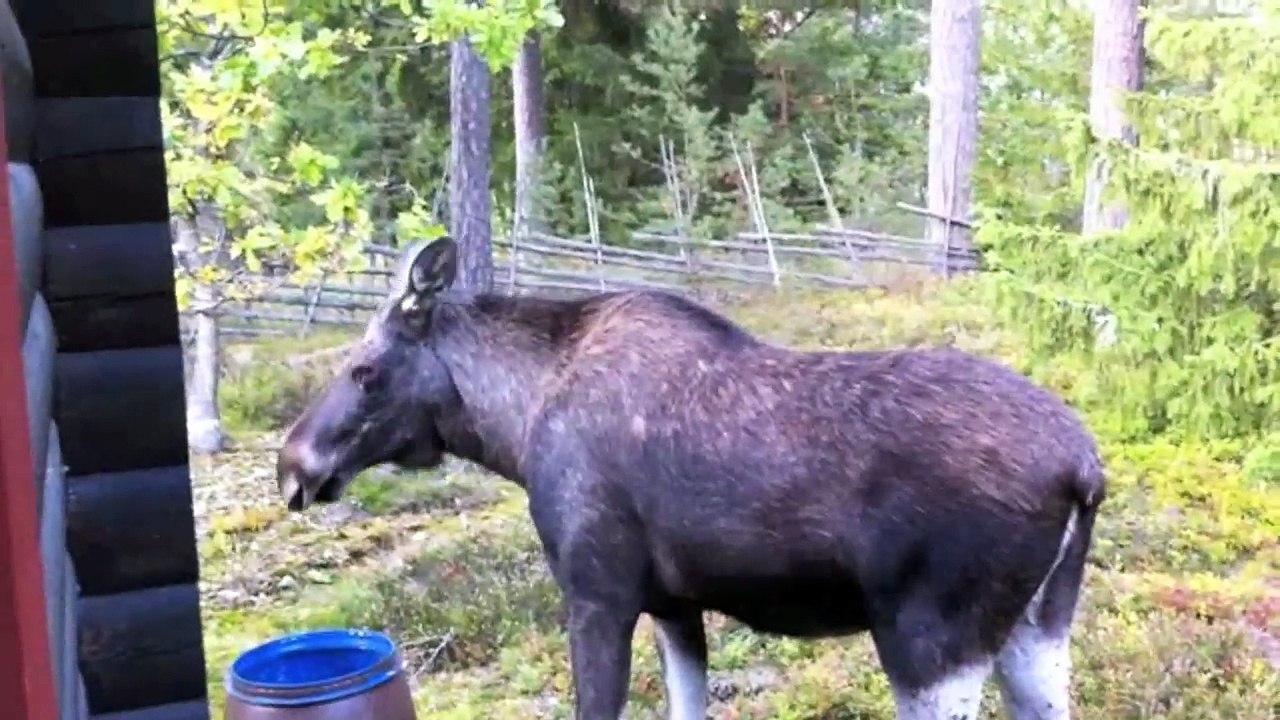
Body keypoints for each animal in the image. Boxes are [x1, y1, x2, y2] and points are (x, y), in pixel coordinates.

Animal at [276, 236, 1106, 720]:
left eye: (364, 369)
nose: (294, 465)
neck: (514, 427)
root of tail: (1084, 470)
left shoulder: (597, 593)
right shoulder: (674, 605)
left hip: (930, 639)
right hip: (1038, 629)